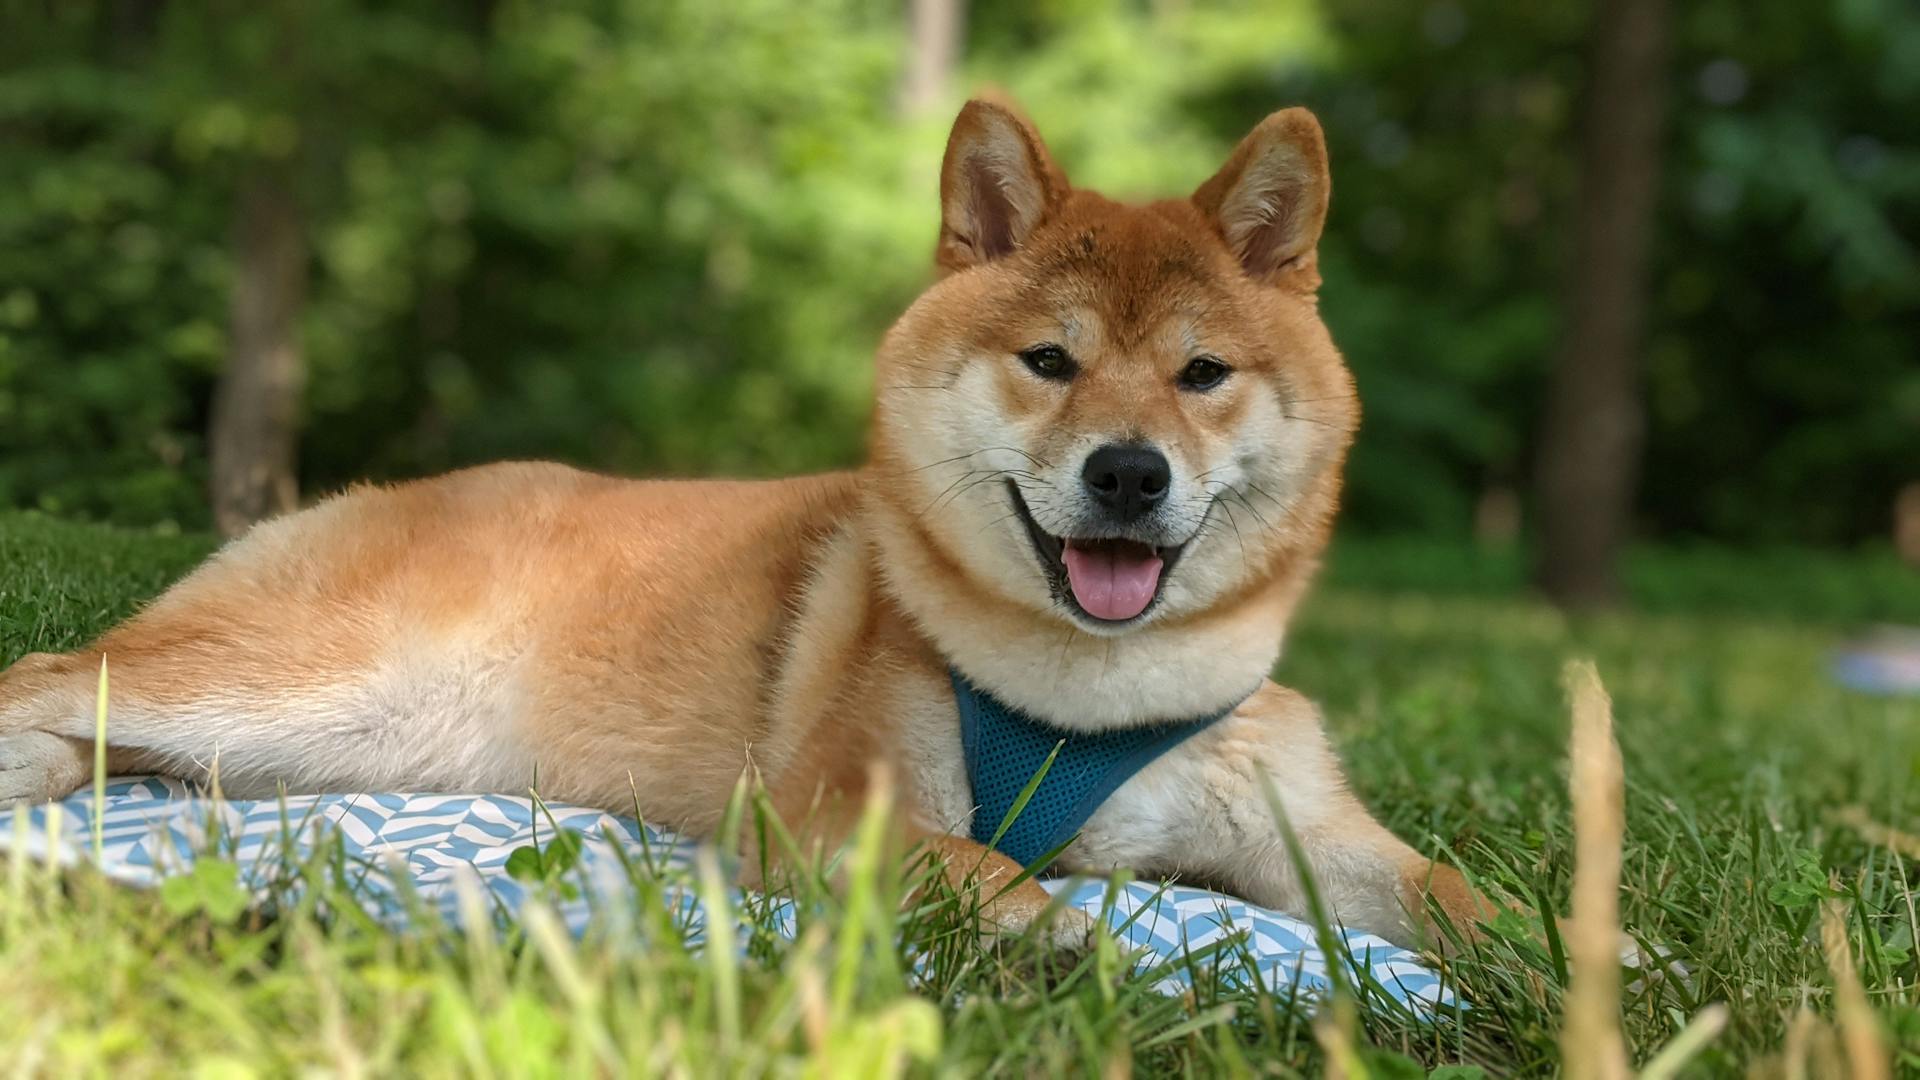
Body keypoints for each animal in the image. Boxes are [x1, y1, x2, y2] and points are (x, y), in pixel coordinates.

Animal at [0, 98, 1489, 941]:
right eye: (1050, 362)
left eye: (1202, 374)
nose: (1130, 474)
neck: (1089, 701)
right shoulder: (830, 808)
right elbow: (980, 868)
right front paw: (1066, 935)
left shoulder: (1295, 824)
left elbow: (1453, 898)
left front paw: (1537, 967)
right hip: (303, 679)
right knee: (48, 671)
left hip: (329, 749)